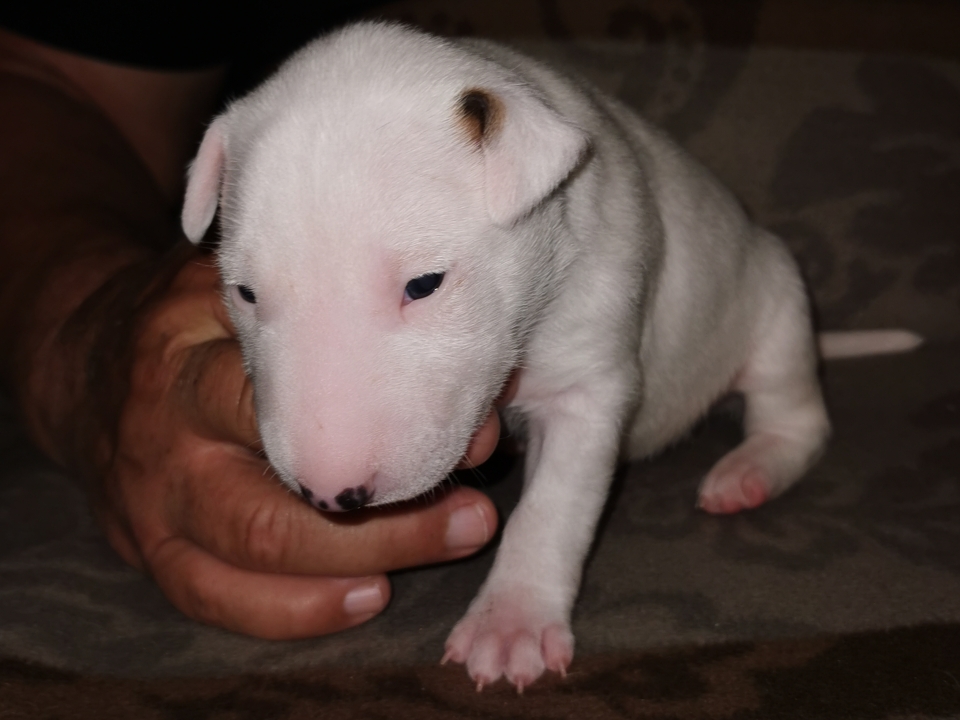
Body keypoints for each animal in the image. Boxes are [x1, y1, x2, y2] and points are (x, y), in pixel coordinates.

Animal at [181, 22, 920, 690]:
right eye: (244, 293)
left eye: (424, 283)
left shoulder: (588, 382)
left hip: (777, 302)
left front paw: (511, 625)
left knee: (793, 415)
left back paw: (749, 472)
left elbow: (552, 506)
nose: (332, 496)